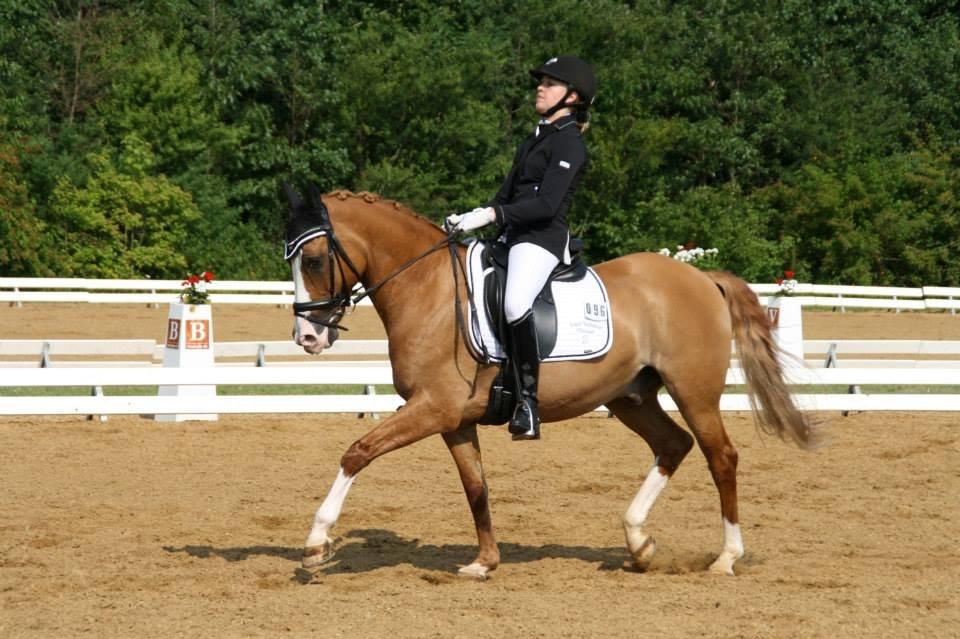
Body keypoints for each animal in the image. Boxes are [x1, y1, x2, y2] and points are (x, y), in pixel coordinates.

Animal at [283, 185, 815, 580]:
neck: (430, 290)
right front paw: (484, 562)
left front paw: (316, 542)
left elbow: (358, 452)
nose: (307, 337)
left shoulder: (432, 407)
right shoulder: (453, 419)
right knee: (673, 445)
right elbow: (476, 487)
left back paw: (726, 557)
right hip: (631, 397)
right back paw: (639, 542)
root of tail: (703, 278)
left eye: (313, 260)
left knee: (720, 456)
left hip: (694, 392)